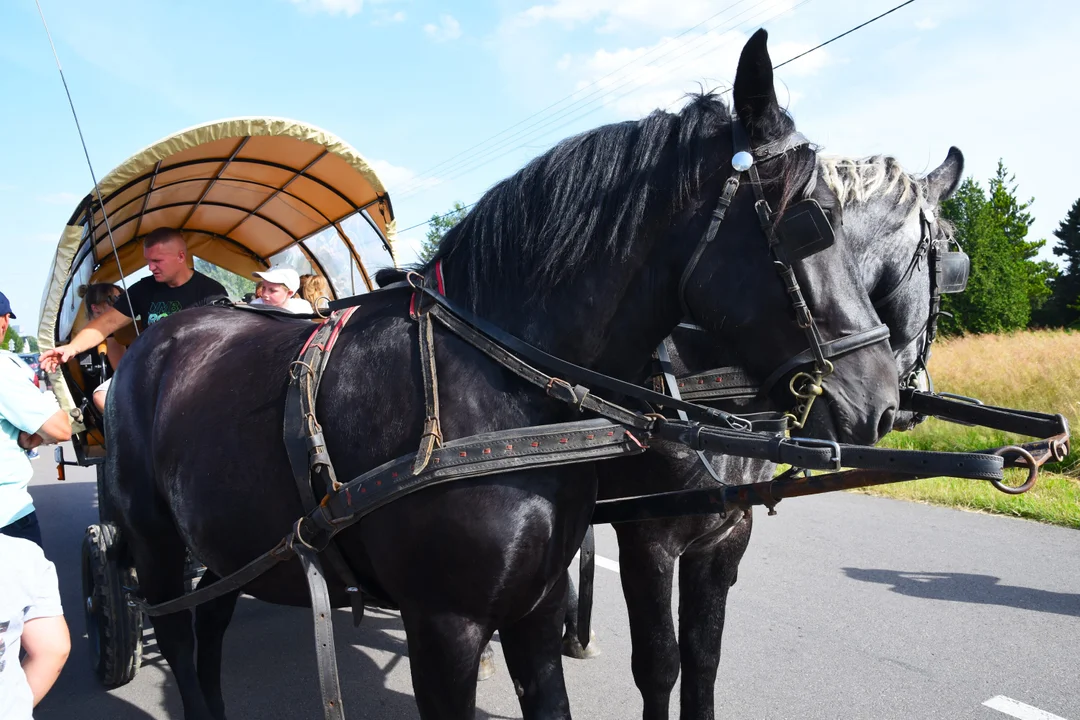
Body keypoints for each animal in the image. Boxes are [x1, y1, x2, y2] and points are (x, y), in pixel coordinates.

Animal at [107, 31, 902, 716]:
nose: (882, 402)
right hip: (155, 541)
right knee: (175, 628)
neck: (498, 388)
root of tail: (165, 333)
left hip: (228, 542)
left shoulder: (540, 606)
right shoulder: (448, 626)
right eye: (812, 220)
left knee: (208, 625)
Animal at [565, 148, 963, 716]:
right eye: (949, 267)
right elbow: (660, 666)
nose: (896, 405)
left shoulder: (727, 533)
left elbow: (703, 658)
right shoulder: (647, 540)